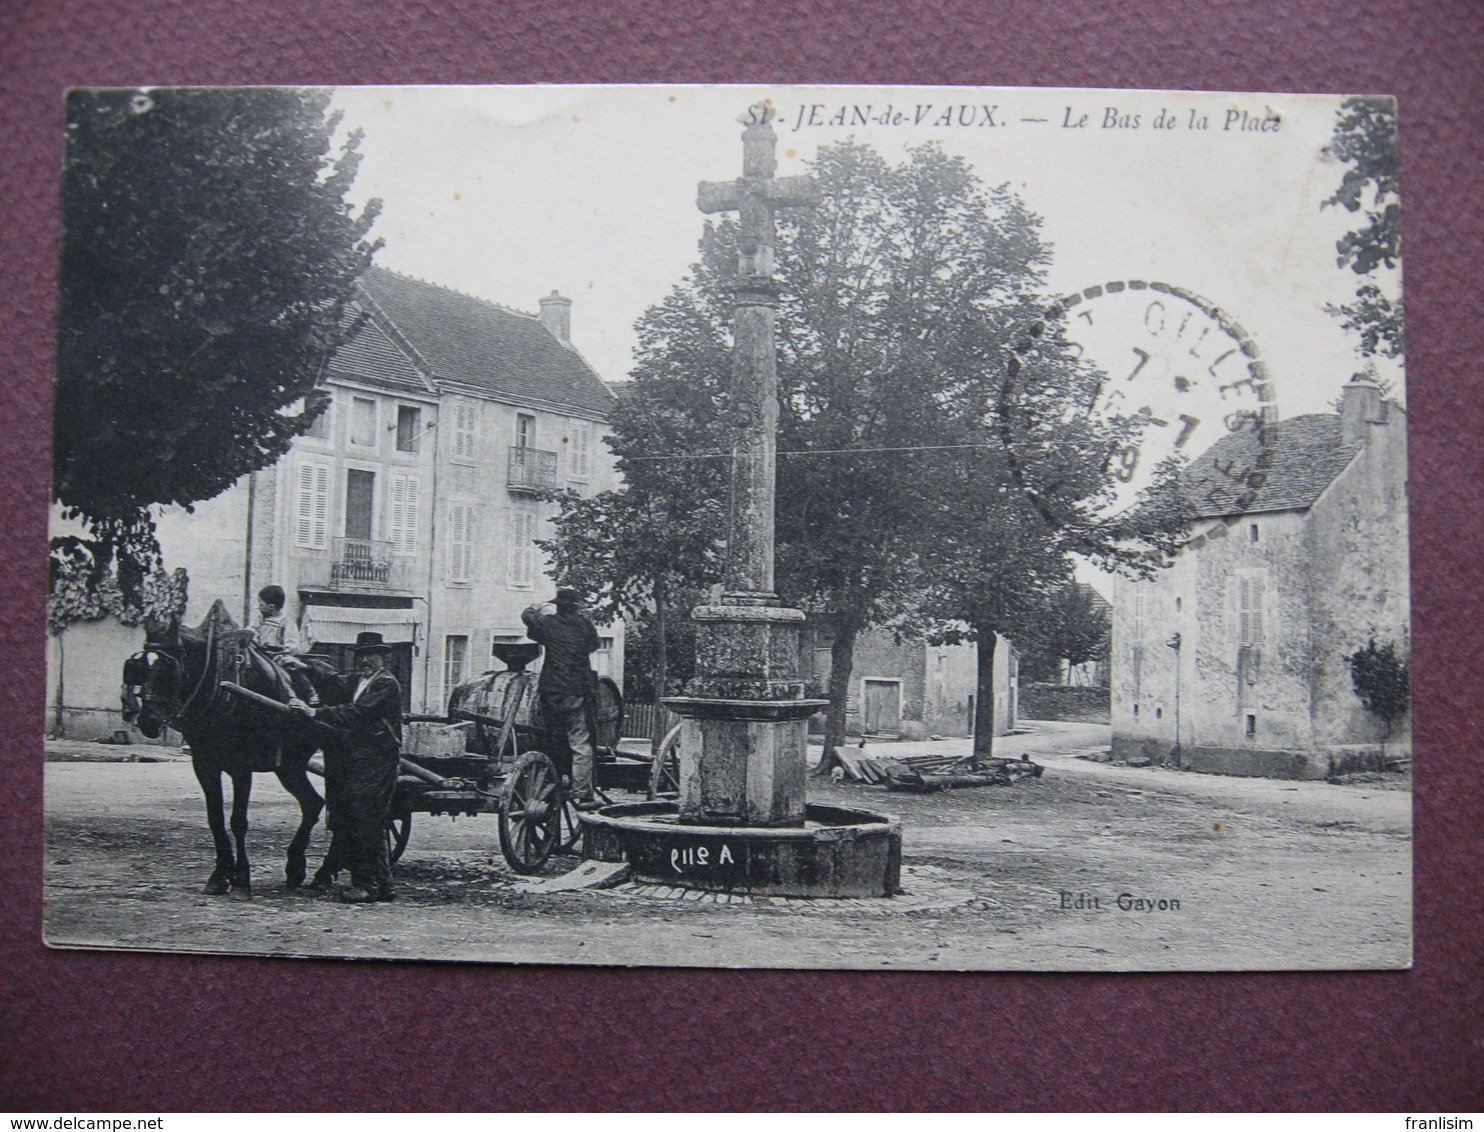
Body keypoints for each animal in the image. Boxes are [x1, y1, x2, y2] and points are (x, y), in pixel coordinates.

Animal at [120, 596, 347, 896]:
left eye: (168, 669)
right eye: (140, 669)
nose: (148, 720)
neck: (220, 682)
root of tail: (339, 676)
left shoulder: (241, 767)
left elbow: (238, 820)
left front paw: (241, 877)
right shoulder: (205, 764)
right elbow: (215, 817)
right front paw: (219, 875)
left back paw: (324, 872)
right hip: (290, 764)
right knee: (313, 804)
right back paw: (297, 867)